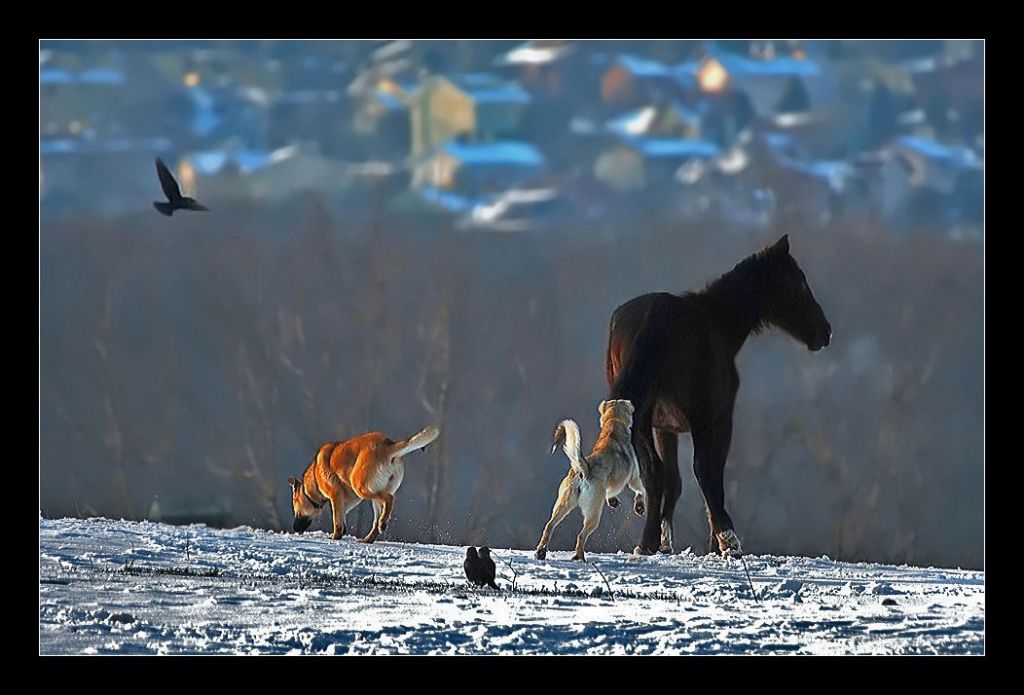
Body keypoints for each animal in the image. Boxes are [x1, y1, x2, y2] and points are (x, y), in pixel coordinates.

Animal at [286, 423, 438, 544]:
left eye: (295, 506)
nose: (294, 528)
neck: (315, 478)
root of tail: (388, 446)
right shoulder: (349, 500)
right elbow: (342, 517)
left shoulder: (336, 495)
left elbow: (337, 521)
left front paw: (335, 537)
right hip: (373, 493)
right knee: (377, 519)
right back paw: (369, 538)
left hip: (361, 487)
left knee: (389, 499)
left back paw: (382, 524)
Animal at [606, 236, 831, 556]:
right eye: (798, 283)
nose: (825, 332)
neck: (718, 323)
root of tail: (652, 319)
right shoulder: (720, 420)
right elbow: (713, 475)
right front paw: (719, 541)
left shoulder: (664, 427)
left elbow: (672, 480)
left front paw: (664, 540)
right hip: (697, 416)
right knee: (700, 469)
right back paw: (728, 538)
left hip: (639, 417)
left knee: (654, 471)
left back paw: (647, 543)